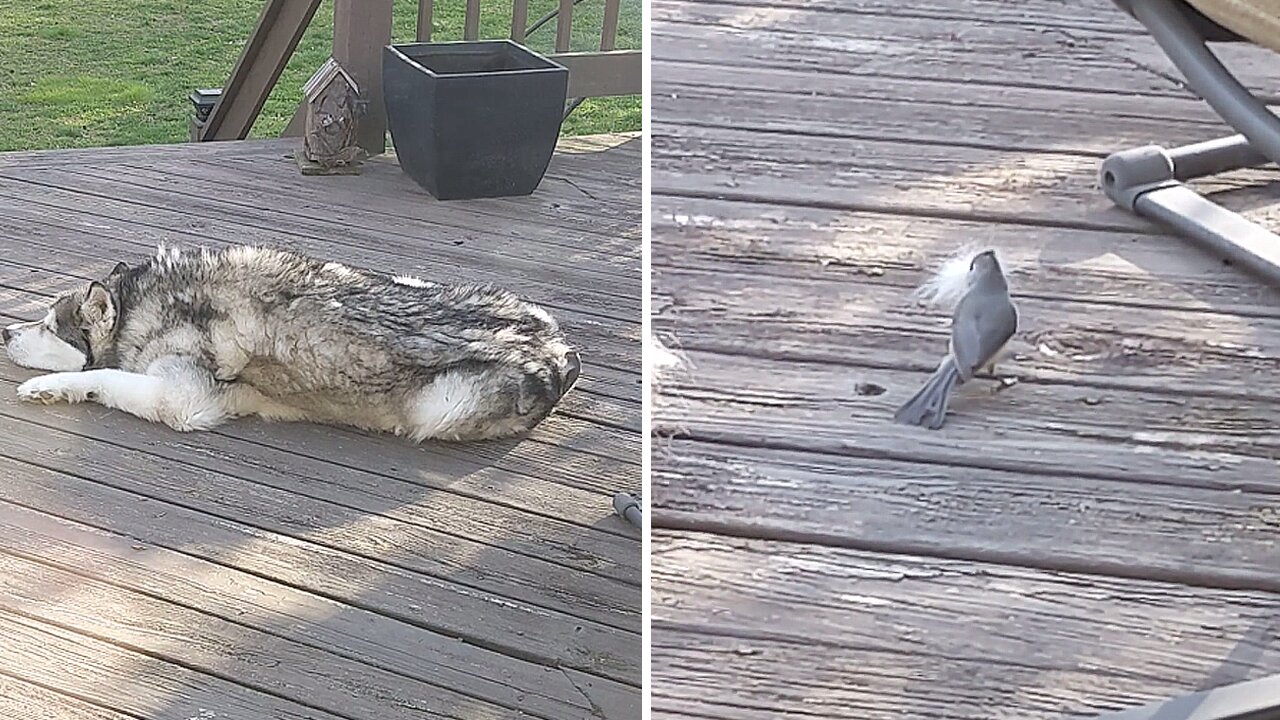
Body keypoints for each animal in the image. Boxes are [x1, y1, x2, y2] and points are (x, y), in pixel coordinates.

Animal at [2, 243, 583, 440]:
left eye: (48, 326)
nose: (5, 331)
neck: (149, 304)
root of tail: (561, 350)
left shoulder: (184, 401)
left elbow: (104, 375)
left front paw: (50, 386)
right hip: (405, 278)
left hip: (438, 406)